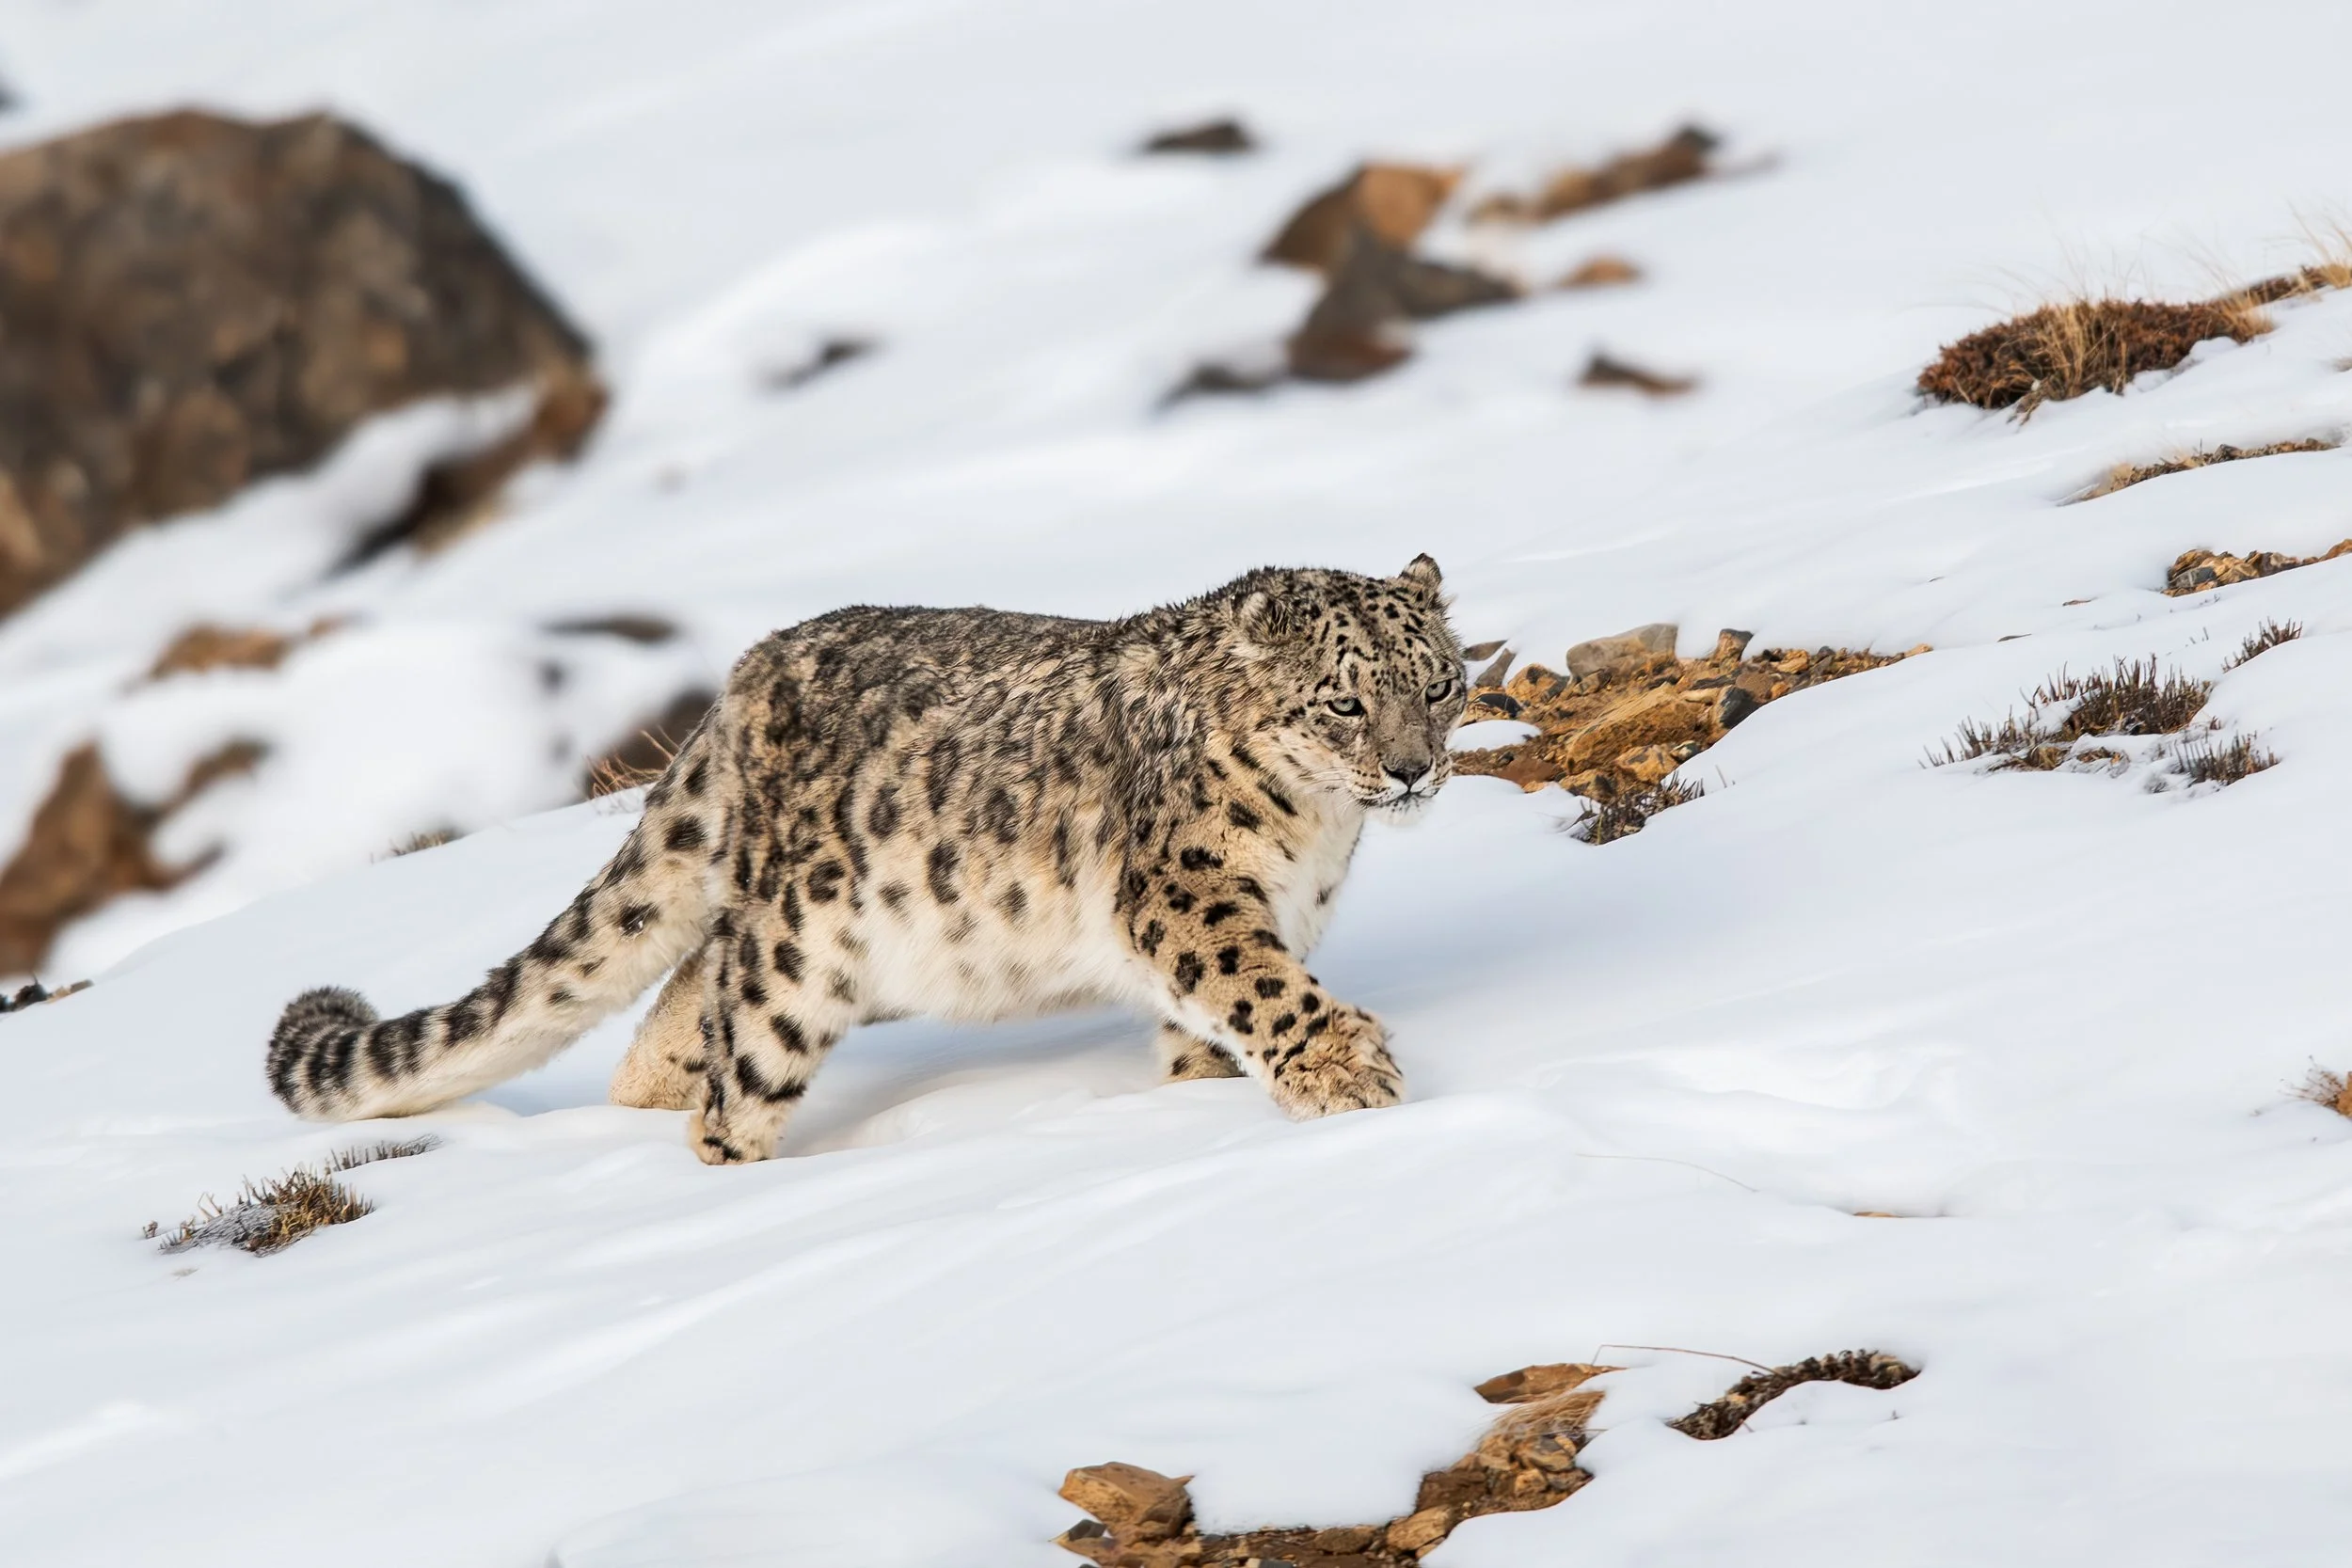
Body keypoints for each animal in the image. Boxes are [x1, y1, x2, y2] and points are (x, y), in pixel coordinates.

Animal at [267, 556, 1467, 1163]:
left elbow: (1209, 1026)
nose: (1412, 770)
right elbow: (1256, 984)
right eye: (1344, 700)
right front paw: (1347, 1075)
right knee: (735, 1066)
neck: (1317, 829)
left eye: (1441, 683)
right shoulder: (1187, 891)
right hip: (799, 953)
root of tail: (746, 676)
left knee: (685, 982)